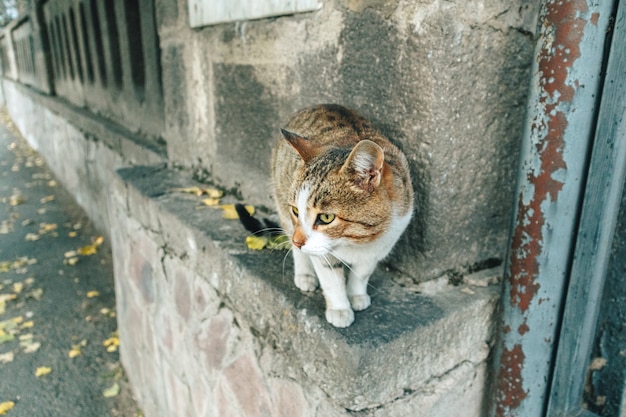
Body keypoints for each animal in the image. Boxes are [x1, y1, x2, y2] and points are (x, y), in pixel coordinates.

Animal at [270, 103, 412, 324]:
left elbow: (363, 272)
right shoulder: (319, 251)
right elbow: (331, 278)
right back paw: (304, 274)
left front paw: (357, 295)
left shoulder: (383, 243)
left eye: (326, 217)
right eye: (296, 210)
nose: (298, 241)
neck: (355, 241)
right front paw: (340, 309)